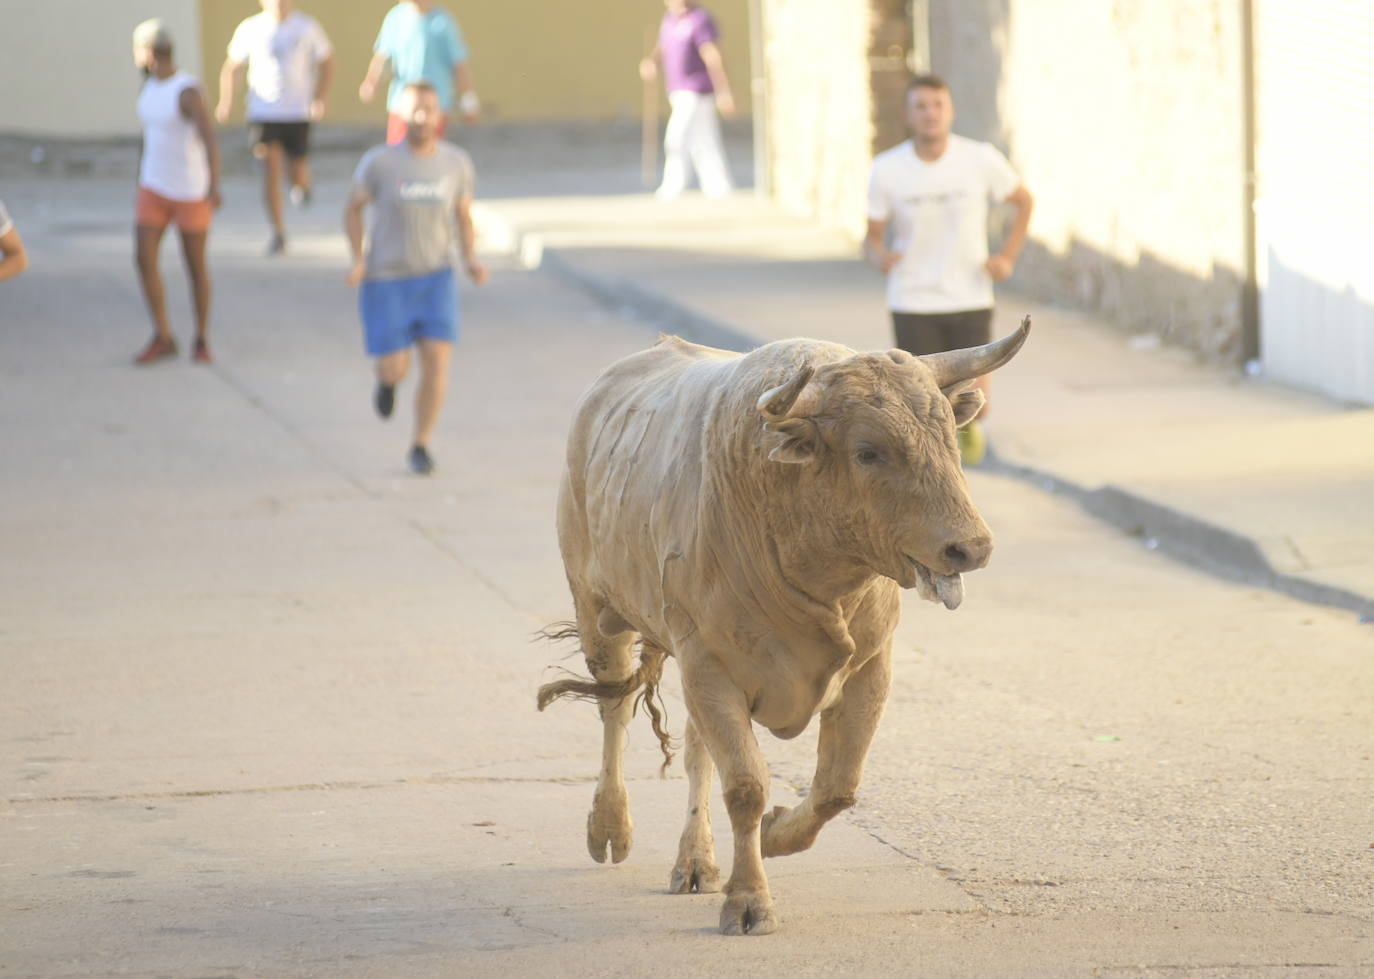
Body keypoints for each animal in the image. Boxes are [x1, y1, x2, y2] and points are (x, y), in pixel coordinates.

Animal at [535, 317, 1033, 933]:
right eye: (868, 452)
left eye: (947, 437)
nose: (971, 547)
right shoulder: (709, 664)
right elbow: (746, 785)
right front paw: (749, 900)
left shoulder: (870, 667)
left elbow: (837, 787)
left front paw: (774, 835)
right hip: (598, 614)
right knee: (615, 709)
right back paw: (610, 827)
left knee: (696, 750)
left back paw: (695, 861)